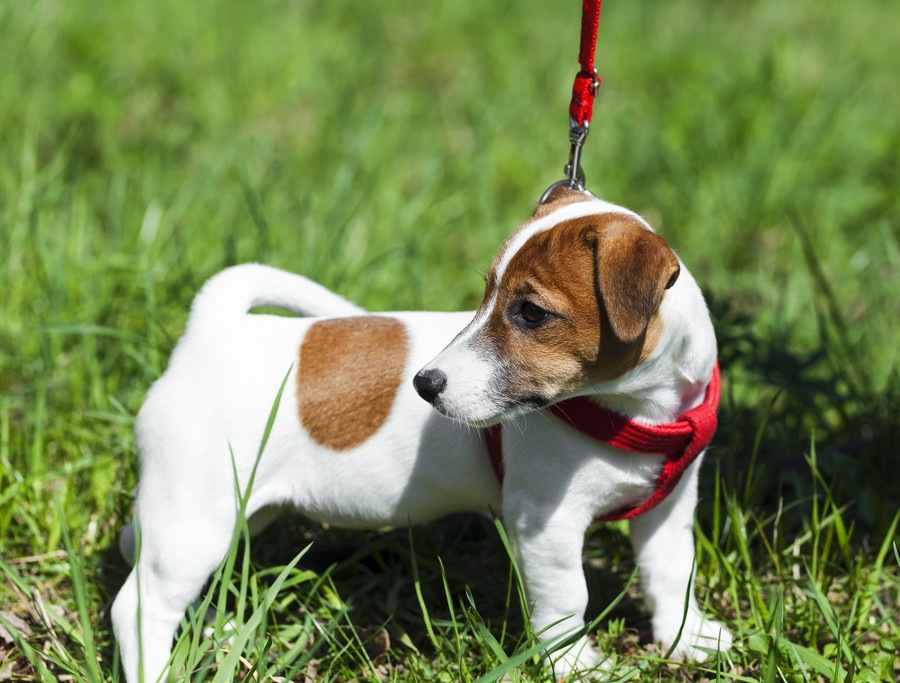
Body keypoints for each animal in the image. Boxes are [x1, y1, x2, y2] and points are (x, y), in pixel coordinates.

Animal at [112, 188, 732, 683]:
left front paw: (686, 639)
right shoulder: (545, 524)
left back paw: (210, 626)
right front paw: (575, 666)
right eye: (486, 295)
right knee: (138, 606)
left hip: (229, 510)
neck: (635, 413)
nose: (424, 384)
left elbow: (671, 575)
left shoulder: (669, 508)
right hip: (197, 516)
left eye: (530, 313)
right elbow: (564, 600)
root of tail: (211, 329)